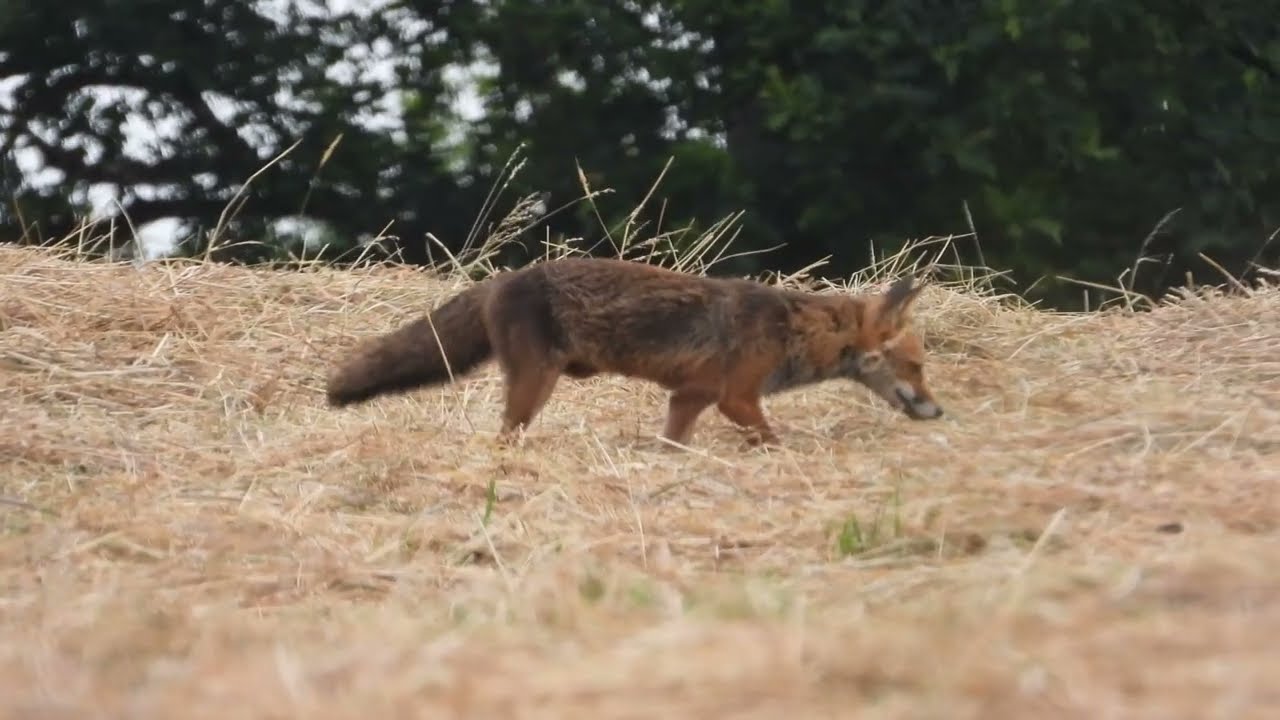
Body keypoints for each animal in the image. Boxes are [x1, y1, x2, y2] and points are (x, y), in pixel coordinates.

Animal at [325, 256, 943, 447]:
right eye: (915, 367)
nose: (939, 411)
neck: (792, 330)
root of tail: (502, 278)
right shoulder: (737, 398)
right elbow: (772, 440)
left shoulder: (689, 398)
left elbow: (673, 445)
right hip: (534, 386)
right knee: (504, 436)